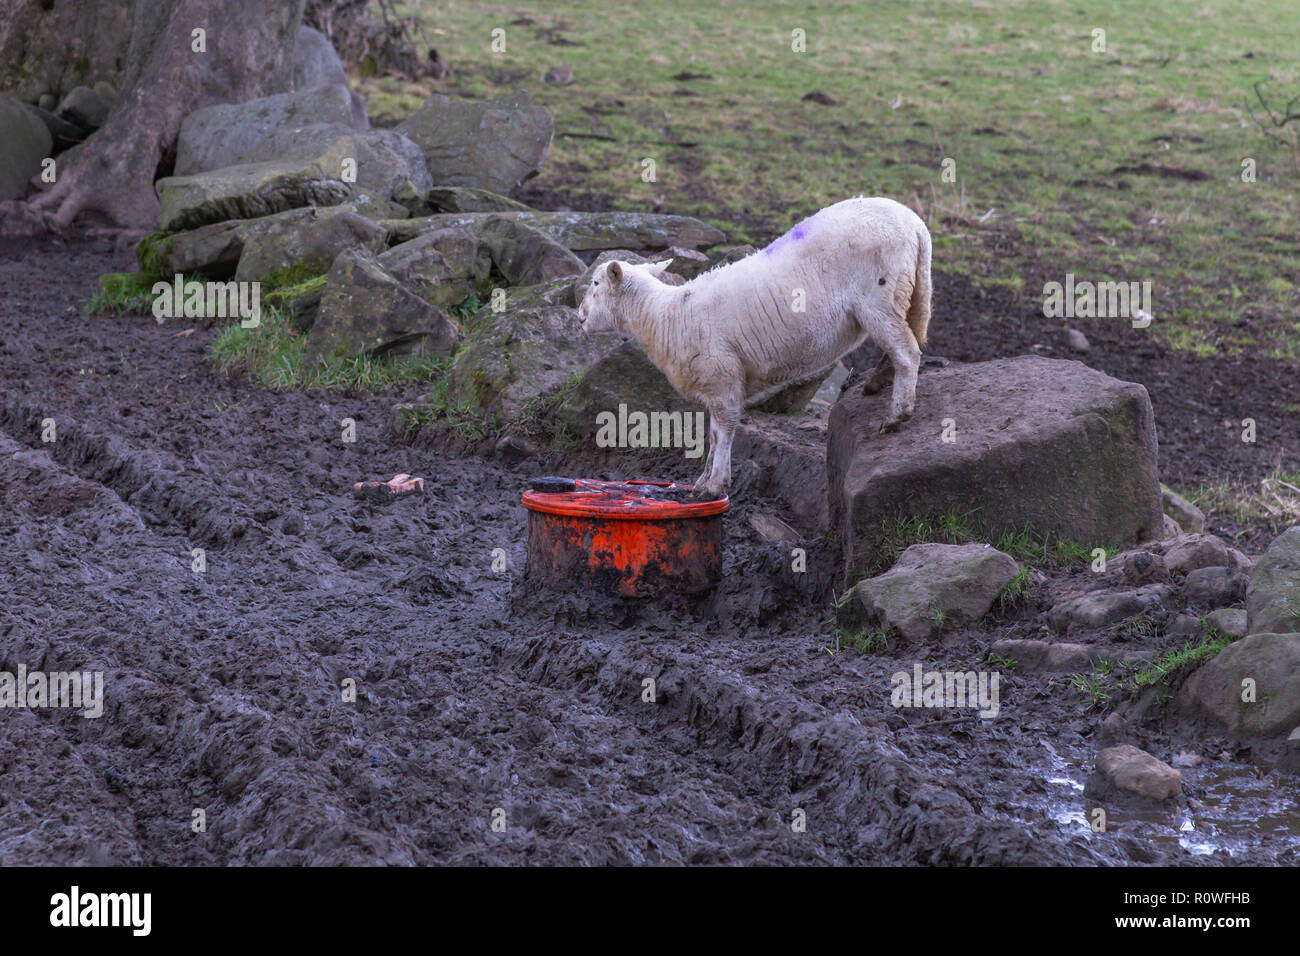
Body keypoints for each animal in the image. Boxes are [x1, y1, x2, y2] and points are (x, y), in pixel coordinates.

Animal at [582, 199, 935, 504]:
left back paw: (897, 414)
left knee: (907, 352)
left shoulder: (722, 376)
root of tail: (916, 225)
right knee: (907, 341)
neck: (664, 316)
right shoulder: (717, 383)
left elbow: (724, 432)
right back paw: (877, 383)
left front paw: (715, 484)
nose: (581, 316)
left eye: (596, 284)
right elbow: (713, 435)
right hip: (908, 292)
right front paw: (702, 483)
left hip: (880, 294)